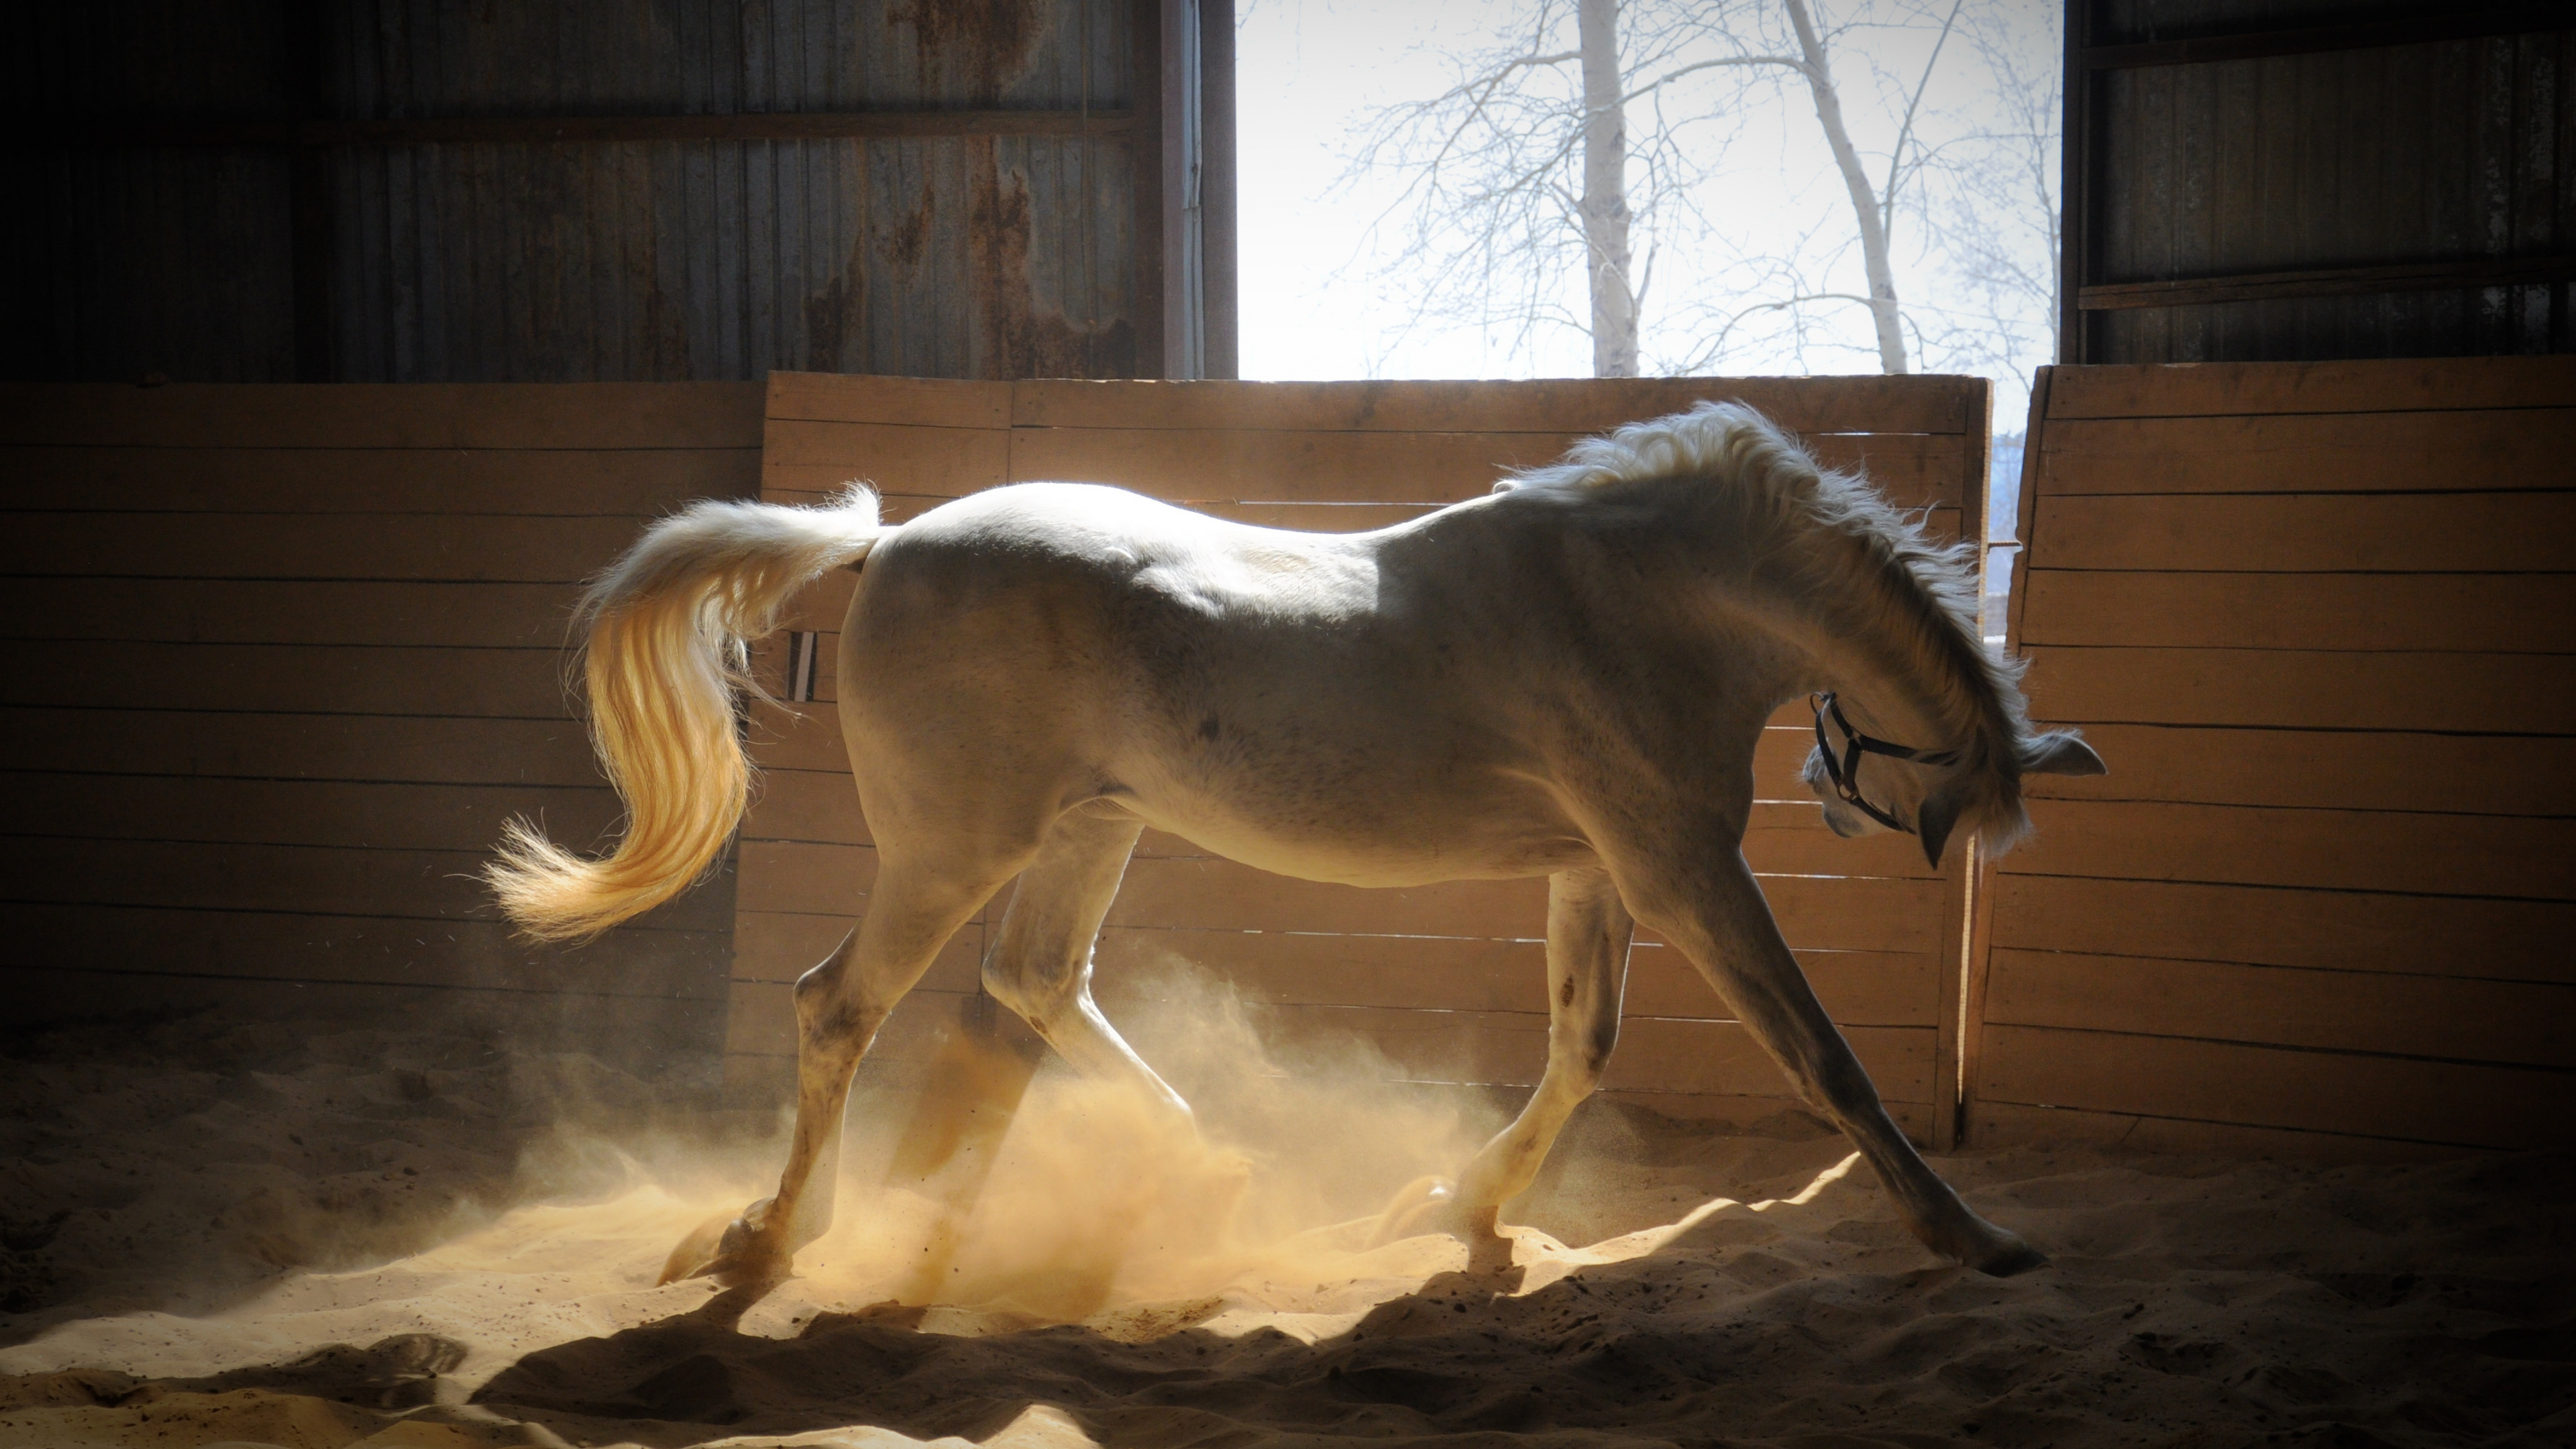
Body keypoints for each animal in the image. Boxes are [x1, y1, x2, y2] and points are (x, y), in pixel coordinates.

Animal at [488, 401, 2105, 1289]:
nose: (1847, 800)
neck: (1639, 598)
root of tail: (885, 546)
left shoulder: (1599, 874)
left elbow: (1582, 1049)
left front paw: (1459, 1208)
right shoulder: (1682, 870)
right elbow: (1824, 1061)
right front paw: (1974, 1237)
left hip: (1090, 831)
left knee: (1035, 984)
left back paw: (1208, 1168)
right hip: (951, 851)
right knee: (841, 1007)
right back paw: (771, 1239)